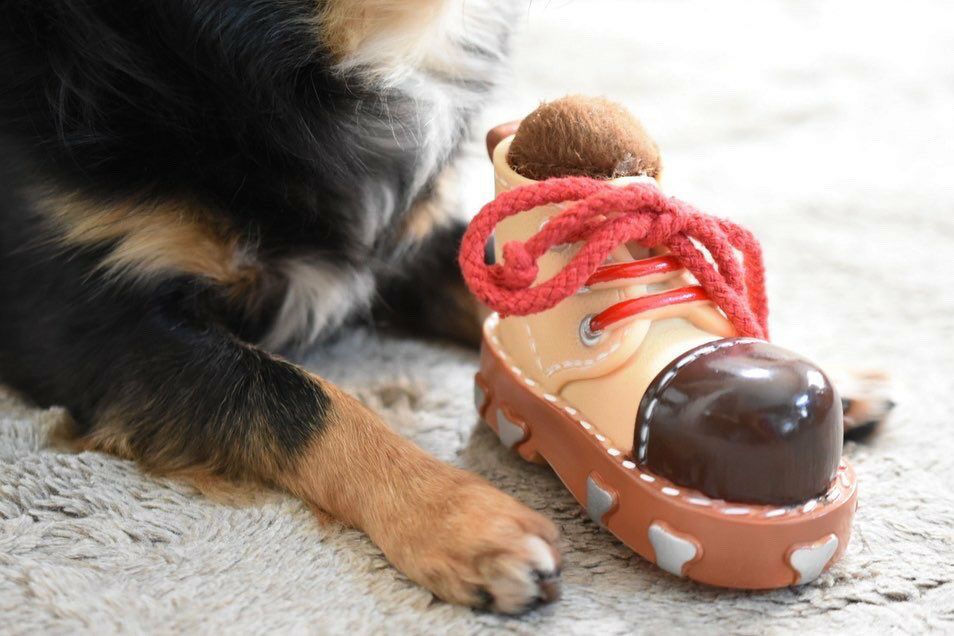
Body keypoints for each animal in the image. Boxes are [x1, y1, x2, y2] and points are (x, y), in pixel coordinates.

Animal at [0, 0, 891, 614]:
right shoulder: (92, 328)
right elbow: (301, 395)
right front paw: (459, 516)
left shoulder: (402, 241)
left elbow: (495, 280)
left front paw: (816, 364)